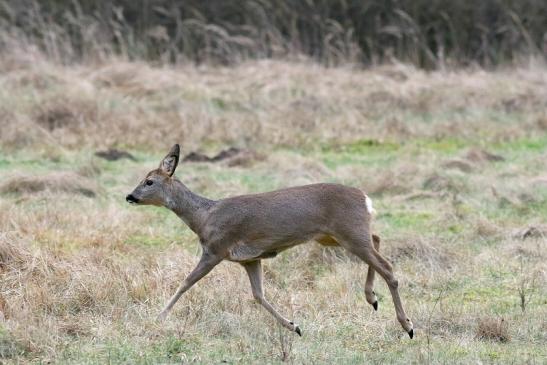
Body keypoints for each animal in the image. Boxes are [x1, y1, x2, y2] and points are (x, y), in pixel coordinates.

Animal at [126, 144, 414, 336]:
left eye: (149, 181)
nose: (130, 196)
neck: (204, 217)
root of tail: (365, 198)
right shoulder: (250, 259)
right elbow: (258, 295)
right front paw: (294, 326)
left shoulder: (216, 249)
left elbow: (185, 283)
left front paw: (158, 317)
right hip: (334, 236)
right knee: (377, 239)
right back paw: (372, 298)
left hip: (348, 231)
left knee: (387, 266)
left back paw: (407, 325)